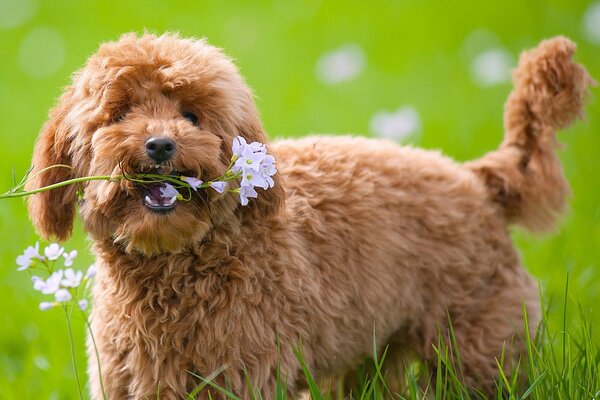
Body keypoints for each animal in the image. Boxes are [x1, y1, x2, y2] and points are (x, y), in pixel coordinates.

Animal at [25, 34, 592, 400]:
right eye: (119, 113)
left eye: (192, 115)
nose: (161, 143)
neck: (181, 264)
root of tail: (478, 179)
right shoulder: (130, 379)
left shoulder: (239, 375)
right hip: (377, 353)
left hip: (477, 346)